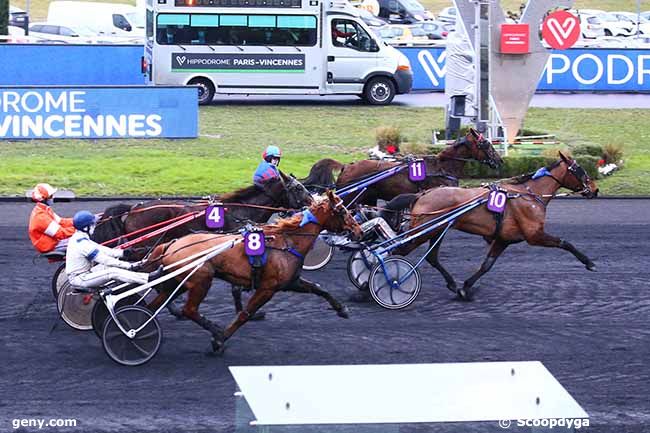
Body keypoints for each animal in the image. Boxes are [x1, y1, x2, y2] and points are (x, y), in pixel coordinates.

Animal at [144, 191, 362, 352]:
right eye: (342, 211)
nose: (359, 231)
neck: (287, 241)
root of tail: (171, 245)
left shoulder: (291, 281)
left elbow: (319, 288)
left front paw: (342, 309)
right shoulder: (267, 288)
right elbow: (245, 314)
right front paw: (220, 340)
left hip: (178, 282)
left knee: (154, 306)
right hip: (201, 280)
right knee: (189, 310)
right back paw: (215, 331)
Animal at [302, 127, 504, 205]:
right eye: (486, 144)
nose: (500, 161)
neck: (442, 167)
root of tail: (347, 166)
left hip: (368, 198)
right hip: (353, 198)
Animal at [380, 152, 596, 300]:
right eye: (579, 170)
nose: (594, 189)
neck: (528, 194)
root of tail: (422, 194)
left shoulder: (504, 239)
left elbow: (487, 265)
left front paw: (465, 287)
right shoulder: (534, 235)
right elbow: (565, 243)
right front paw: (589, 262)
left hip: (438, 230)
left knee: (431, 257)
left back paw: (452, 284)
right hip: (425, 231)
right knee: (397, 251)